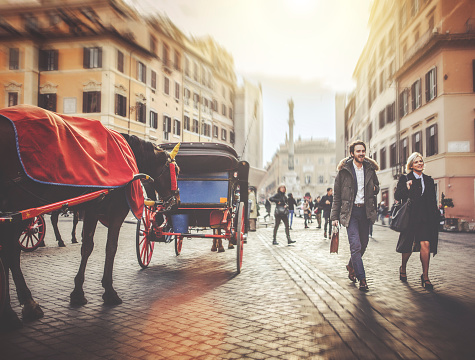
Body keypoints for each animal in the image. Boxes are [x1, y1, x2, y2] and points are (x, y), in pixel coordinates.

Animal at [0, 112, 179, 330]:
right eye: (176, 171)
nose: (175, 202)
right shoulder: (110, 211)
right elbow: (106, 247)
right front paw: (106, 291)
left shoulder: (92, 209)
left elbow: (89, 246)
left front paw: (78, 292)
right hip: (20, 205)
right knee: (10, 252)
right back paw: (26, 304)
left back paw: (11, 310)